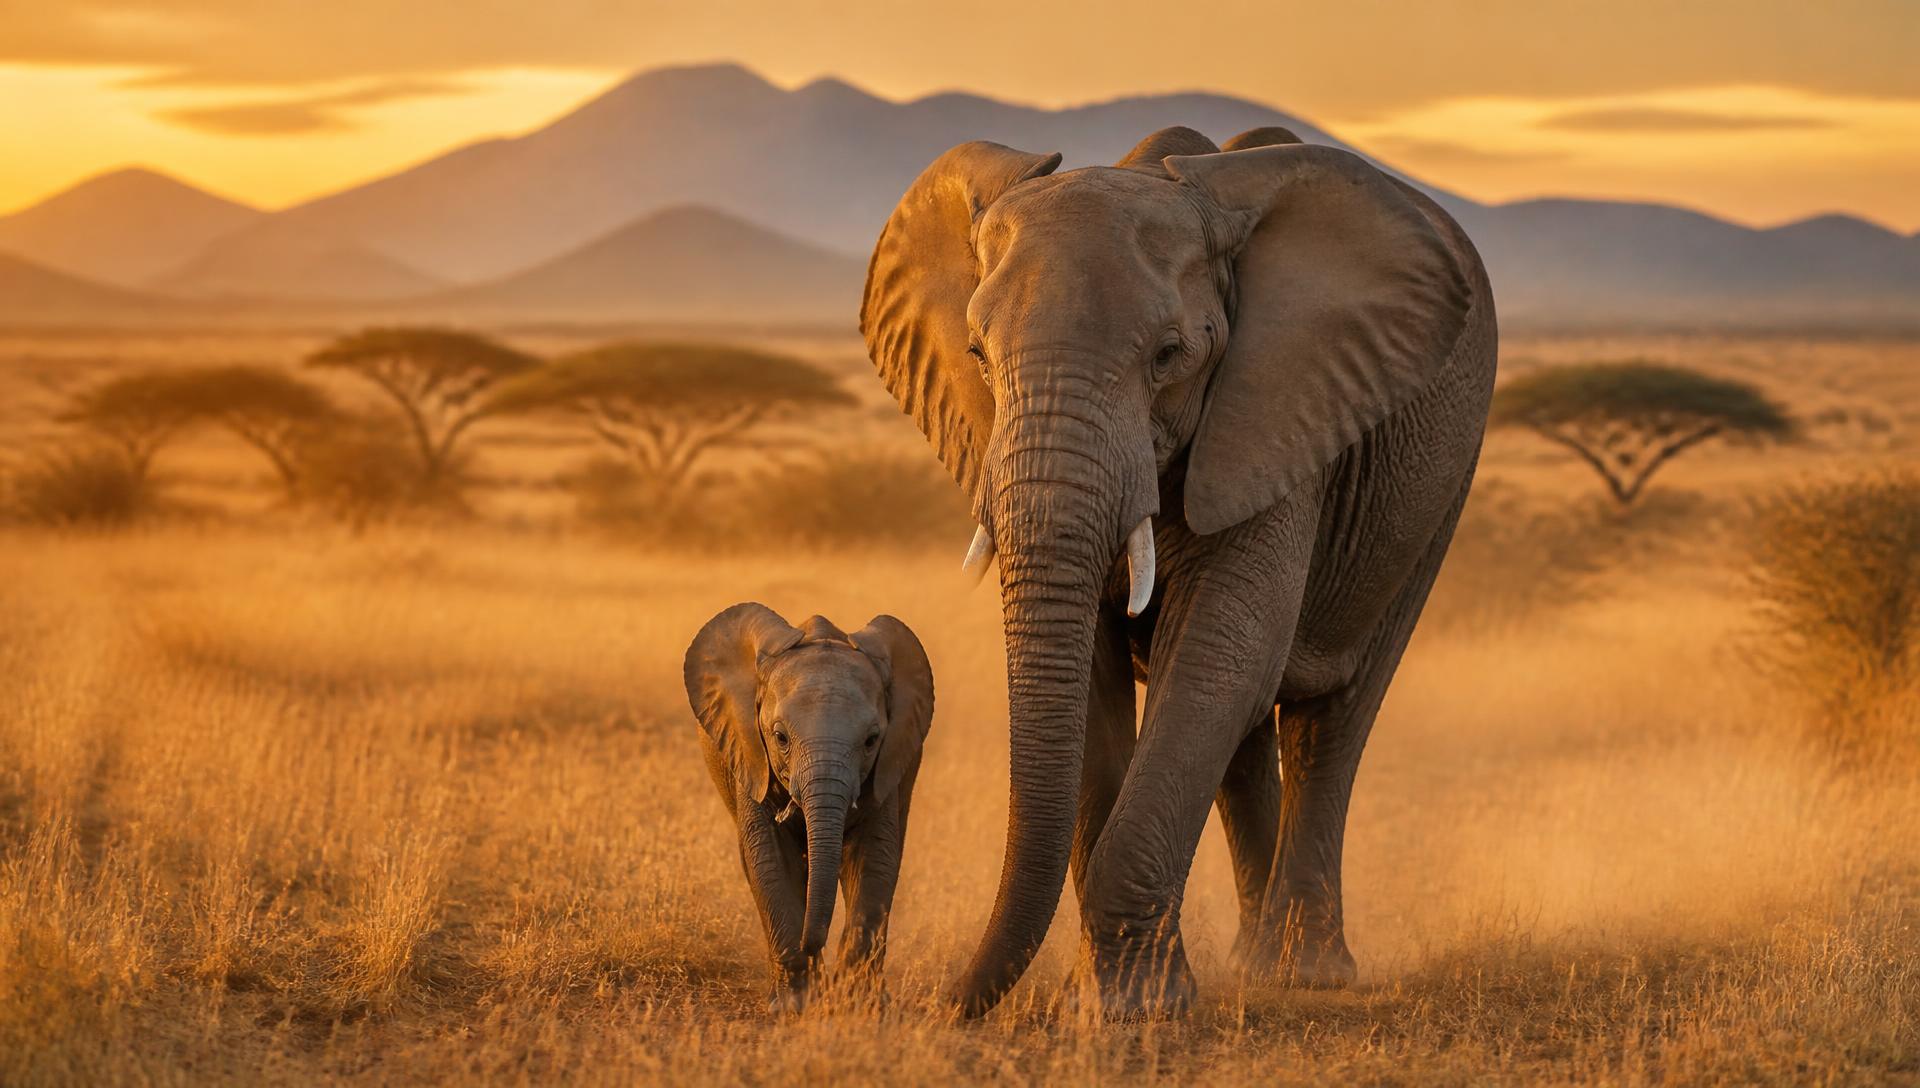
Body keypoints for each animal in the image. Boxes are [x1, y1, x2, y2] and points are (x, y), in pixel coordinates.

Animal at [684, 604, 934, 1012]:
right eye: (780, 737)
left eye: (872, 740)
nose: (813, 943)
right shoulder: (750, 756)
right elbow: (768, 858)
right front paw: (795, 1006)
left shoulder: (887, 768)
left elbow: (875, 857)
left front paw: (859, 1006)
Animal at [860, 125, 1496, 1018]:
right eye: (979, 356)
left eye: (1170, 356)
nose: (930, 1004)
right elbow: (1104, 682)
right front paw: (1100, 995)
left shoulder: (1276, 414)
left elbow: (1218, 652)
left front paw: (1134, 1010)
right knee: (1248, 735)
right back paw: (1254, 962)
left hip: (1439, 489)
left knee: (1330, 719)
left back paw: (1304, 975)